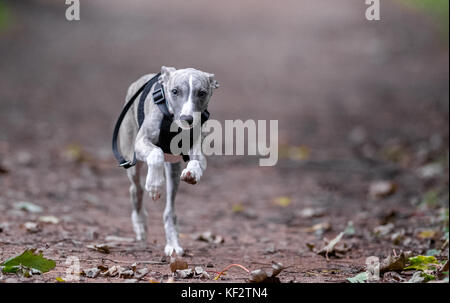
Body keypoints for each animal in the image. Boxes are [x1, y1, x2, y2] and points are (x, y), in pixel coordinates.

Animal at [118, 67, 220, 256]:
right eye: (175, 91)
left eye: (202, 93)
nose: (187, 119)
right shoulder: (141, 141)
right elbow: (156, 153)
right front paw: (155, 185)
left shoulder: (197, 150)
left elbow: (198, 162)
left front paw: (192, 173)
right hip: (131, 157)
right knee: (136, 189)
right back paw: (140, 223)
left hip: (173, 169)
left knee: (169, 211)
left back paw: (173, 244)